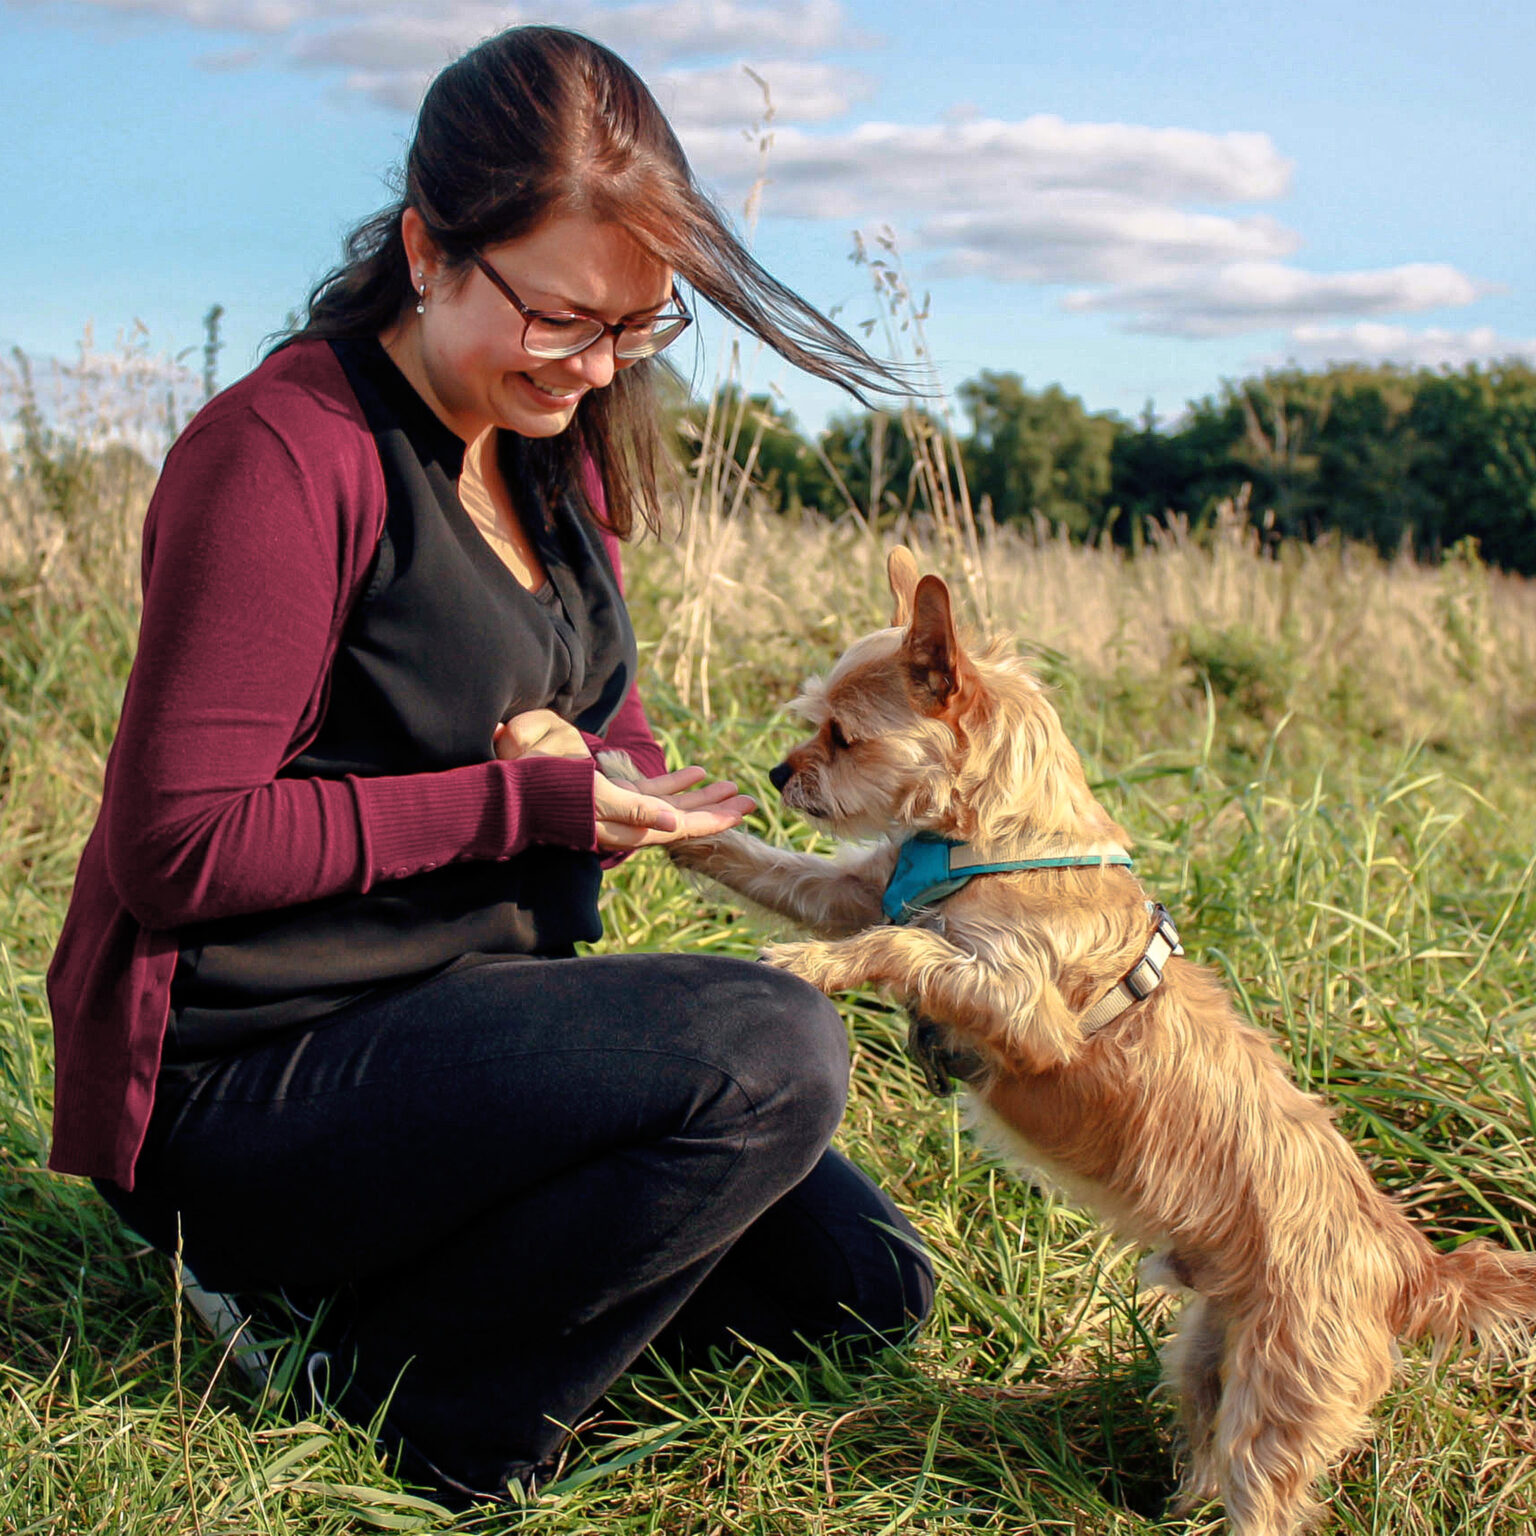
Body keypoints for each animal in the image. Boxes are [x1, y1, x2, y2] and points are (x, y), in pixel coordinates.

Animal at [669, 546, 1536, 1529]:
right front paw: (669, 820)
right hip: (1205, 1356)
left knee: (1261, 1491)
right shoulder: (855, 887)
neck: (994, 841)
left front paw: (810, 962)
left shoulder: (1026, 1011)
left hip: (1279, 1406)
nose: (781, 772)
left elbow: (903, 944)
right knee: (1200, 1448)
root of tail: (1409, 1264)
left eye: (844, 737)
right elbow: (778, 871)